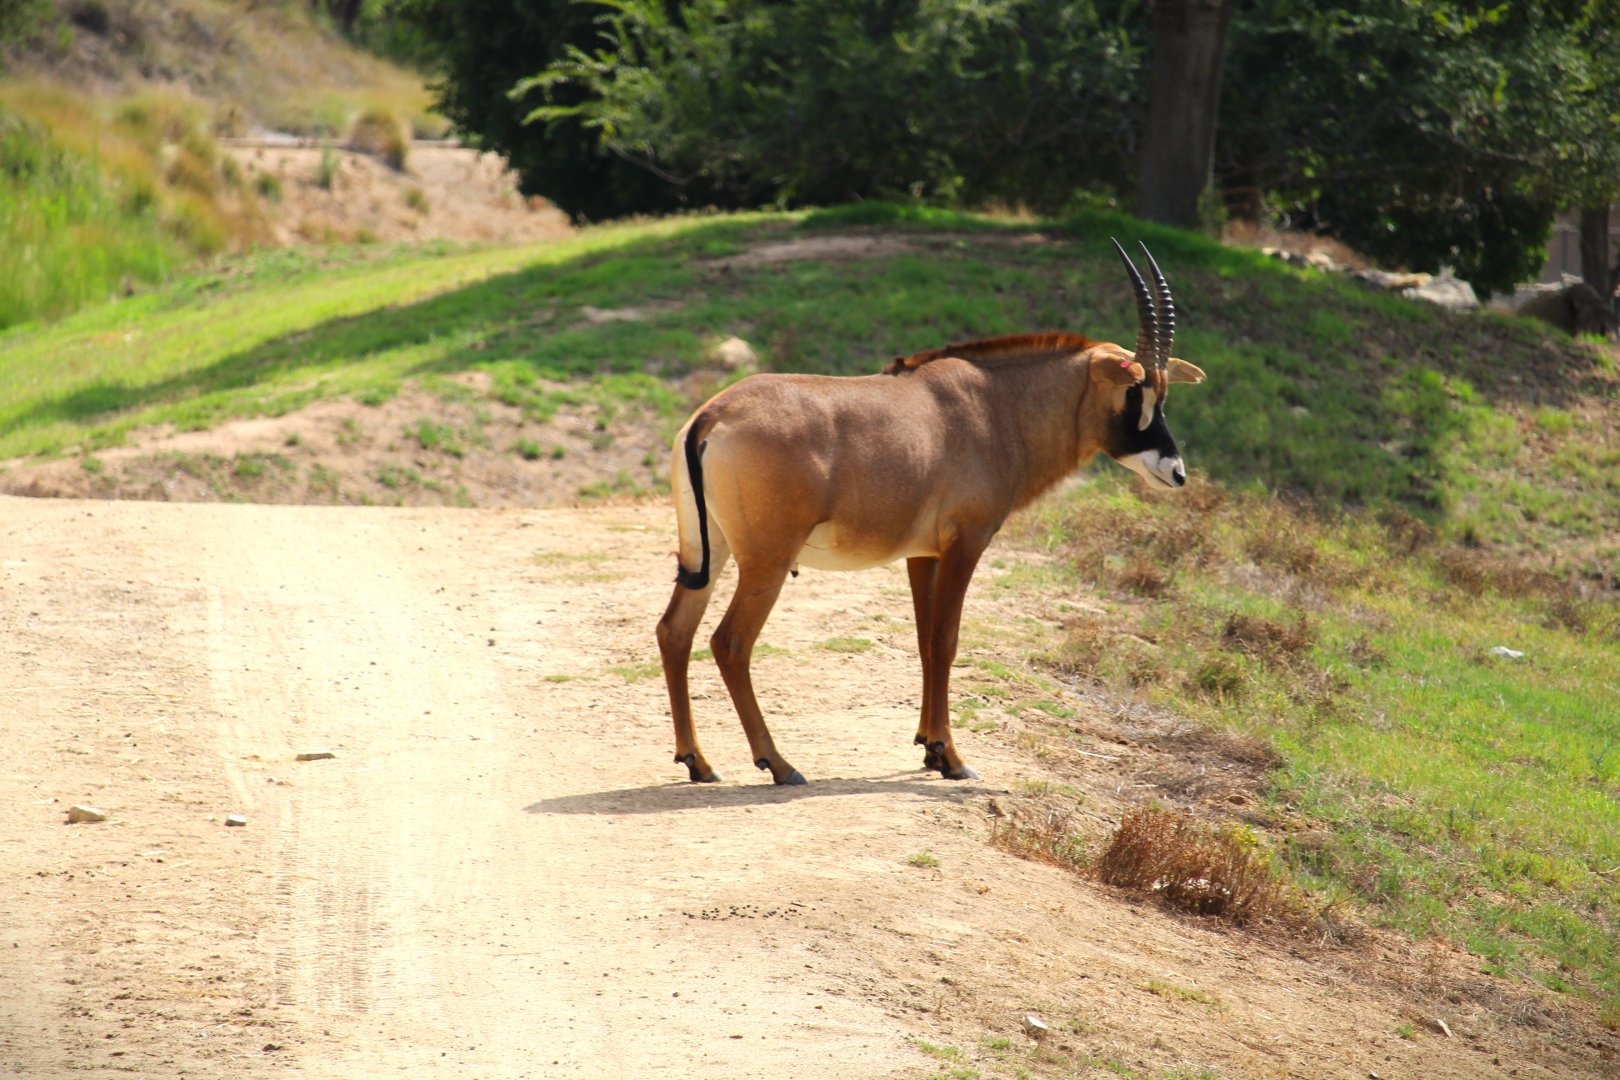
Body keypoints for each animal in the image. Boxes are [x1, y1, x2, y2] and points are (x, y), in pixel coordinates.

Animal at [655, 240, 1206, 785]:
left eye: (1164, 391)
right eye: (1135, 390)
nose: (1176, 471)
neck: (995, 404)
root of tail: (712, 416)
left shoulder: (922, 554)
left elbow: (923, 641)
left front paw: (928, 748)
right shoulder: (967, 542)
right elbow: (945, 640)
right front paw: (952, 757)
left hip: (708, 553)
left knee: (674, 631)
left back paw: (698, 761)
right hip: (766, 562)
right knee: (730, 642)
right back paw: (780, 764)